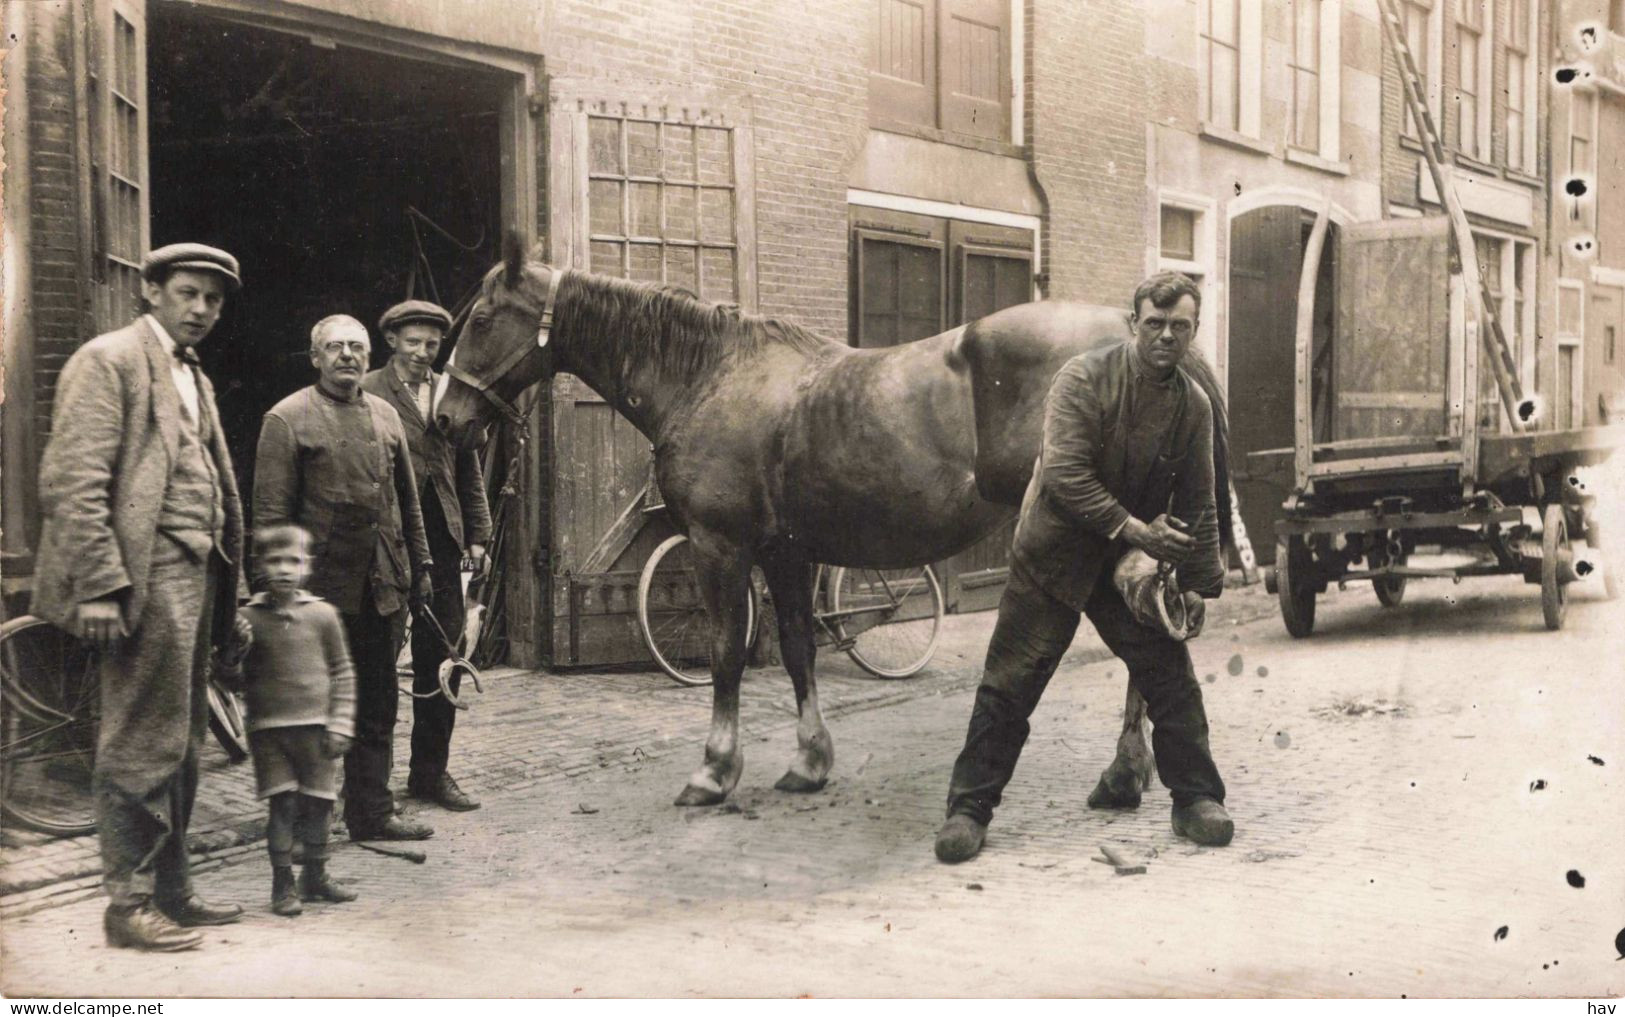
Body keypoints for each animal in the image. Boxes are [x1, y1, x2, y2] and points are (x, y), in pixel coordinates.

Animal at [432, 237, 1228, 809]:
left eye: (481, 319)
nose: (445, 419)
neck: (709, 375)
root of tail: (1142, 340)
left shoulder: (720, 549)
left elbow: (725, 654)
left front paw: (714, 772)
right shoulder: (788, 554)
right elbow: (795, 652)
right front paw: (809, 762)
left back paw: (1125, 774)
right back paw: (1129, 774)